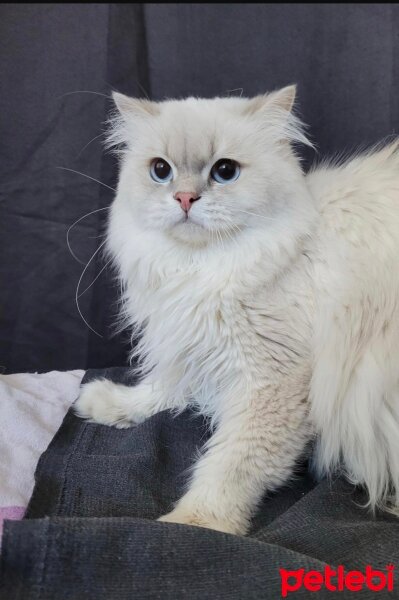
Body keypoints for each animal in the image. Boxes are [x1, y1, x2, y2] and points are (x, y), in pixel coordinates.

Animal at [76, 85, 399, 536]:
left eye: (224, 171)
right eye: (161, 170)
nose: (184, 198)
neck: (201, 270)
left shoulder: (272, 383)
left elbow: (230, 467)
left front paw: (194, 524)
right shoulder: (191, 345)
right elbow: (160, 389)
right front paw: (110, 405)